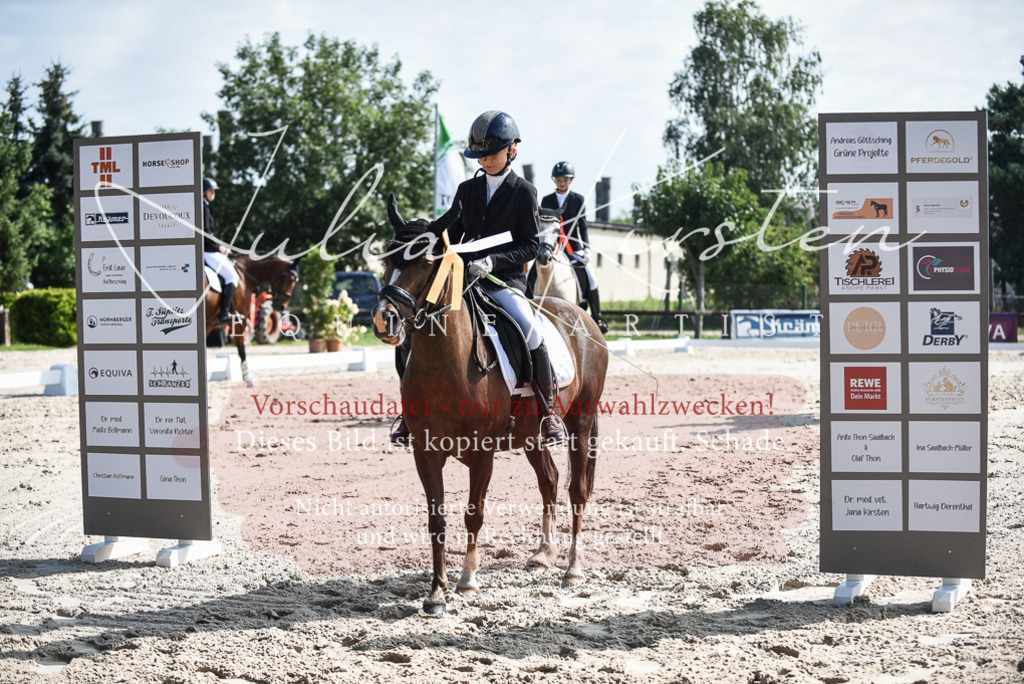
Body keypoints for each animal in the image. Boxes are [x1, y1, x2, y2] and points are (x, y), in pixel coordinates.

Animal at [204, 254, 299, 387]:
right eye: (291, 279)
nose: (282, 307)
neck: (244, 276)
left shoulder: (209, 324)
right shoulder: (240, 320)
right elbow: (241, 349)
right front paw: (249, 378)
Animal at [371, 196, 609, 615]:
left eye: (425, 262)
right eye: (387, 259)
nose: (385, 320)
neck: (445, 362)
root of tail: (582, 318)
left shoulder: (482, 455)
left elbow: (474, 514)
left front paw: (467, 581)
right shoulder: (425, 453)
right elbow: (437, 520)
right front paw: (436, 592)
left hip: (581, 422)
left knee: (577, 491)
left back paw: (573, 569)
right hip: (532, 436)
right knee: (549, 481)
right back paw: (544, 554)